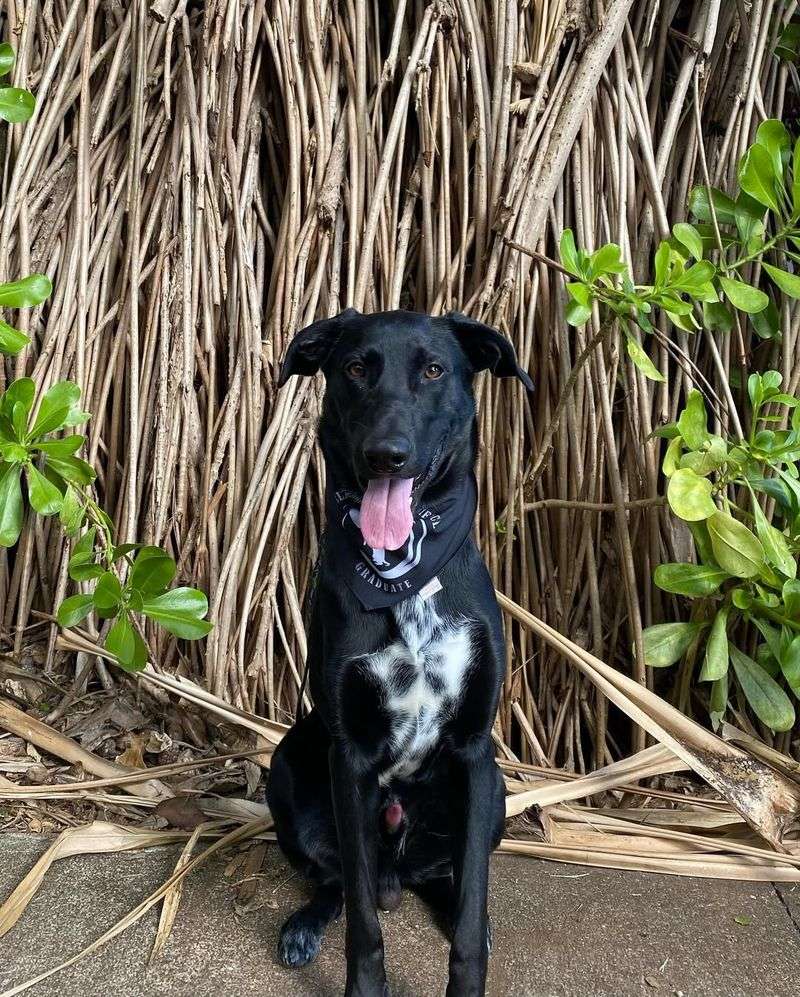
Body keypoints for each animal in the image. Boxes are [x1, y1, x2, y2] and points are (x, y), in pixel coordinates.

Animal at [266, 308, 536, 992]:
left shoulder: (474, 749)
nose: (386, 455)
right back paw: (308, 923)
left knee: (451, 879)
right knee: (339, 880)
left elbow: (469, 906)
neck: (407, 573)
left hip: (496, 790)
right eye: (356, 368)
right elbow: (363, 920)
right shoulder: (350, 756)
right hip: (288, 764)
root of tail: (400, 873)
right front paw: (364, 986)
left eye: (434, 370)